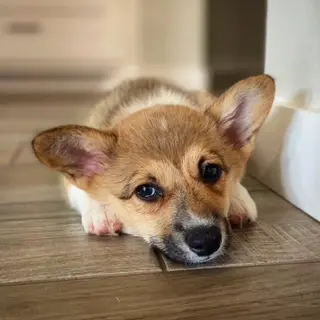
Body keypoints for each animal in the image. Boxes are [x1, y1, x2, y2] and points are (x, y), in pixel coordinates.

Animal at [31, 75, 276, 264]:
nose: (206, 241)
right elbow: (80, 190)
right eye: (146, 191)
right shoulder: (68, 182)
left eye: (211, 172)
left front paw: (237, 199)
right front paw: (101, 212)